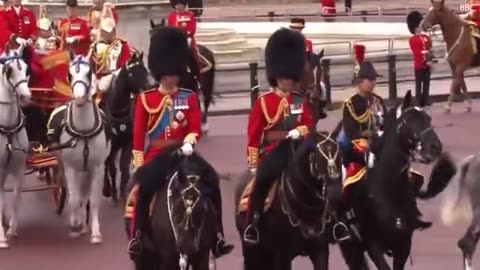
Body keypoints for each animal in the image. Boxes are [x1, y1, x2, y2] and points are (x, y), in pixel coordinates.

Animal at [98, 52, 149, 204]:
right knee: (106, 164)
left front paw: (124, 190)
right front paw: (114, 192)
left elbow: (124, 166)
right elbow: (113, 168)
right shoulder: (112, 145)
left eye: (145, 69)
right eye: (132, 73)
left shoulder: (127, 142)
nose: (152, 85)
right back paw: (107, 189)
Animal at [234, 133, 344, 270]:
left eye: (339, 155)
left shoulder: (320, 250)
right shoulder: (282, 254)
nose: (336, 191)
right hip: (252, 250)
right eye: (318, 158)